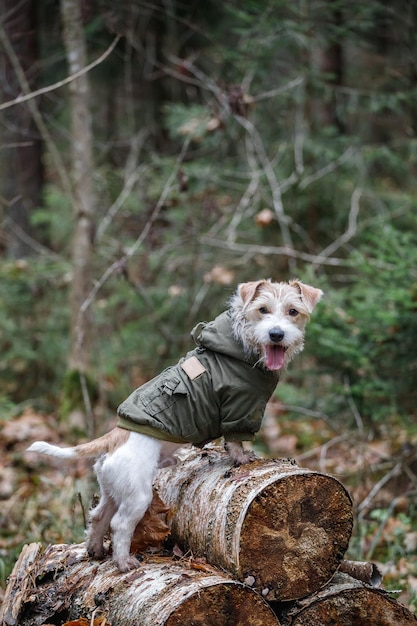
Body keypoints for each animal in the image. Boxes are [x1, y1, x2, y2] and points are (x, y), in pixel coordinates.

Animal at [28, 280, 322, 572]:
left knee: (99, 515)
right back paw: (124, 562)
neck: (242, 342)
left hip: (112, 490)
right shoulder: (238, 407)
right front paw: (242, 458)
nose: (276, 334)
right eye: (262, 309)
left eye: (293, 311)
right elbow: (235, 439)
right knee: (120, 524)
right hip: (137, 494)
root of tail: (116, 437)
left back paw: (96, 549)